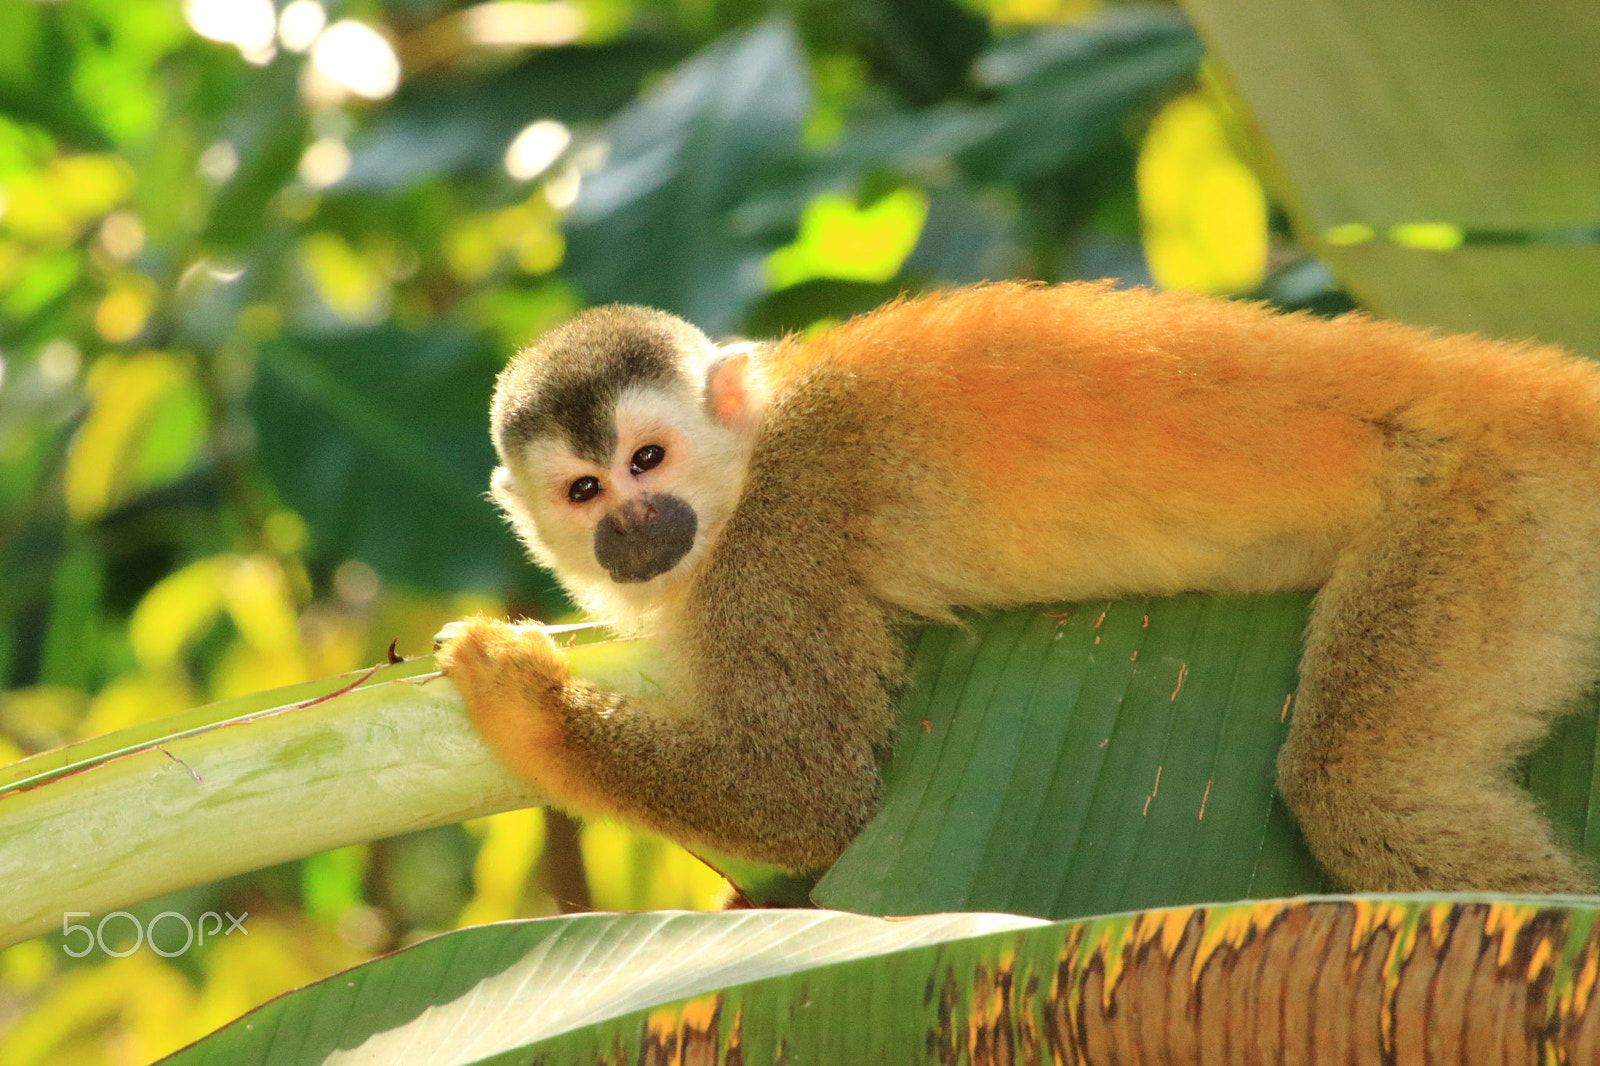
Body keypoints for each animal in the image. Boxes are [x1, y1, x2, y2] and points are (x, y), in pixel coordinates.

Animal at [435, 280, 1600, 894]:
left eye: (649, 460)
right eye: (585, 490)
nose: (634, 529)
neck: (752, 454)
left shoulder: (783, 532)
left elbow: (807, 791)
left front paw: (523, 699)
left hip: (1490, 510)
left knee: (1363, 790)